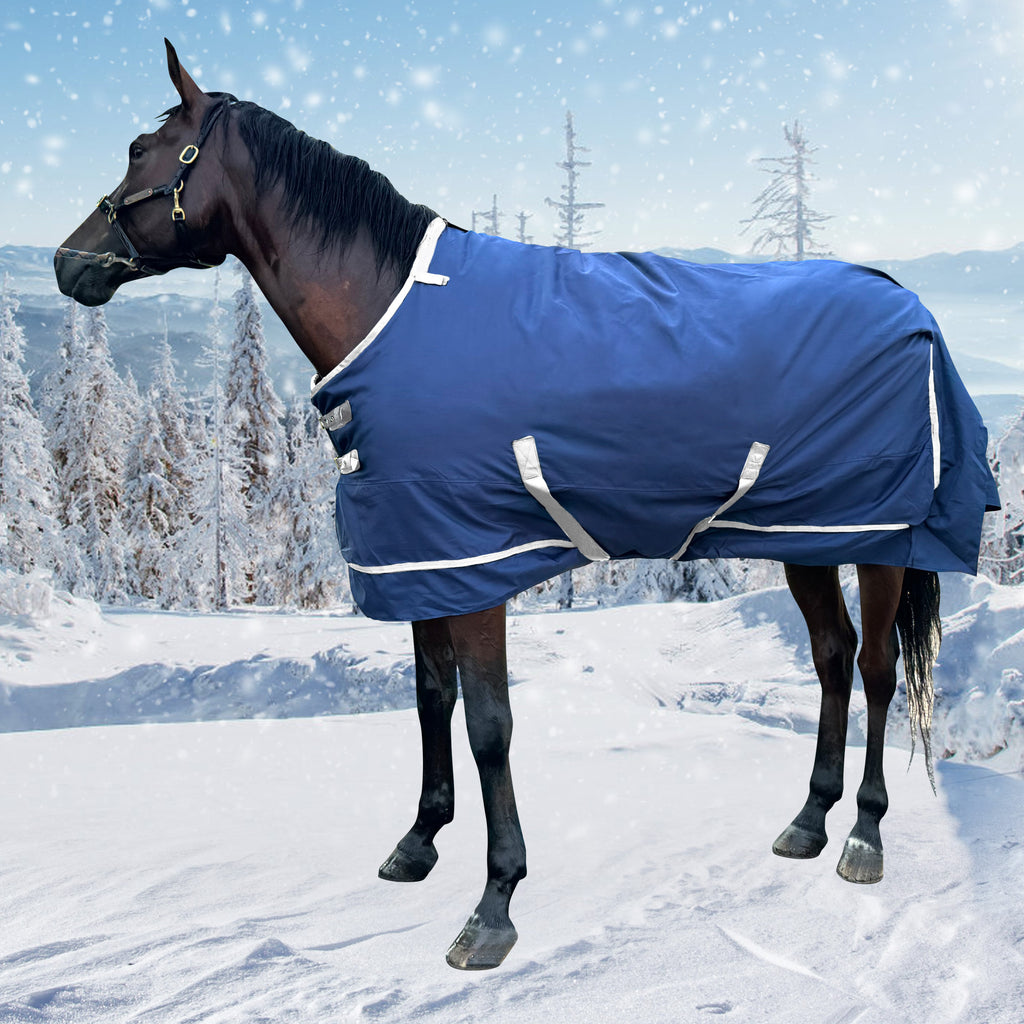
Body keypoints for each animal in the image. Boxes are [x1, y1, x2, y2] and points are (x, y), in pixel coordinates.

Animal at [55, 40, 999, 970]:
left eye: (142, 150)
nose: (68, 263)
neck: (391, 316)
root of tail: (909, 302)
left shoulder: (472, 564)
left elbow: (489, 727)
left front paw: (494, 904)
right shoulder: (421, 559)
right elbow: (431, 698)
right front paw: (419, 841)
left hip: (882, 536)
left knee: (876, 669)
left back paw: (864, 837)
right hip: (806, 534)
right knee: (832, 658)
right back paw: (807, 822)